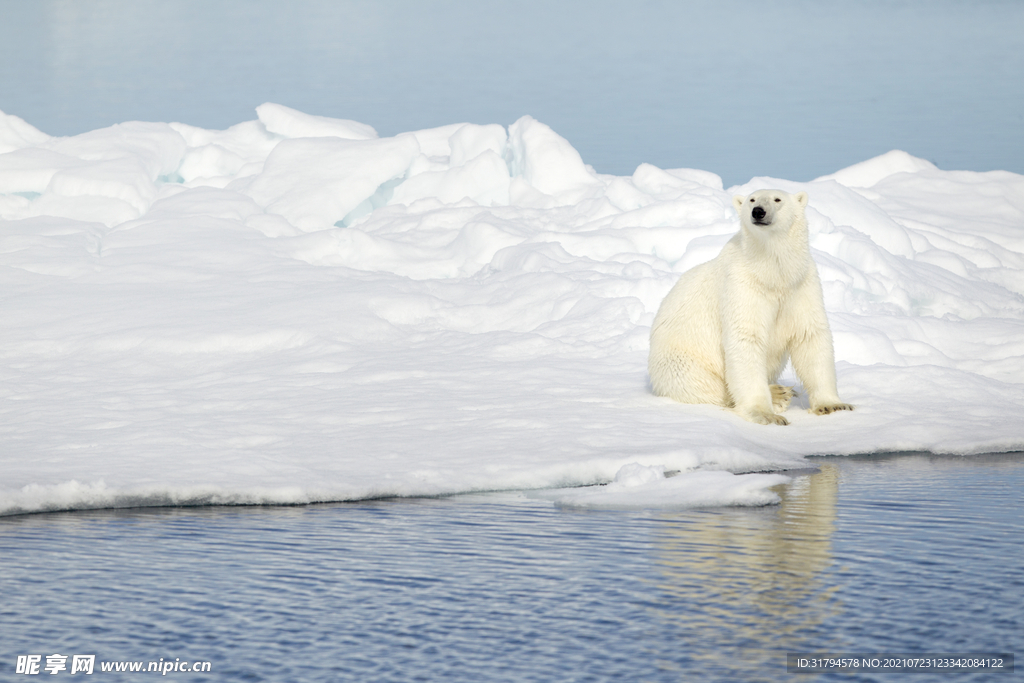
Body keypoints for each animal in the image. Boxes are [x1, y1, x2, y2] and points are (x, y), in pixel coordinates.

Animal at [647, 187, 856, 421]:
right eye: (752, 199)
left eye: (777, 199)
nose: (758, 212)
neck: (772, 273)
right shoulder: (743, 284)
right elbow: (746, 337)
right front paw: (766, 414)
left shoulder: (801, 284)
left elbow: (810, 335)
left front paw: (833, 405)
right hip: (680, 361)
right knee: (704, 385)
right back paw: (778, 394)